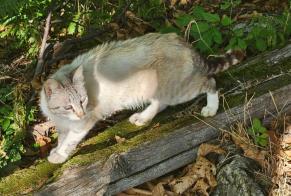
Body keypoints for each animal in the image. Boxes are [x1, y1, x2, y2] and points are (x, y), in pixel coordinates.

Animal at [40, 33, 245, 164]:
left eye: (82, 100)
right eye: (68, 106)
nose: (81, 113)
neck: (62, 117)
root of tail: (182, 41)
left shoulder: (83, 123)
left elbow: (69, 140)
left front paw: (59, 155)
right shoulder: (64, 124)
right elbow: (62, 138)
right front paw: (57, 150)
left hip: (179, 89)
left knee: (209, 82)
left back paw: (211, 108)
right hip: (158, 89)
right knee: (160, 103)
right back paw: (142, 118)